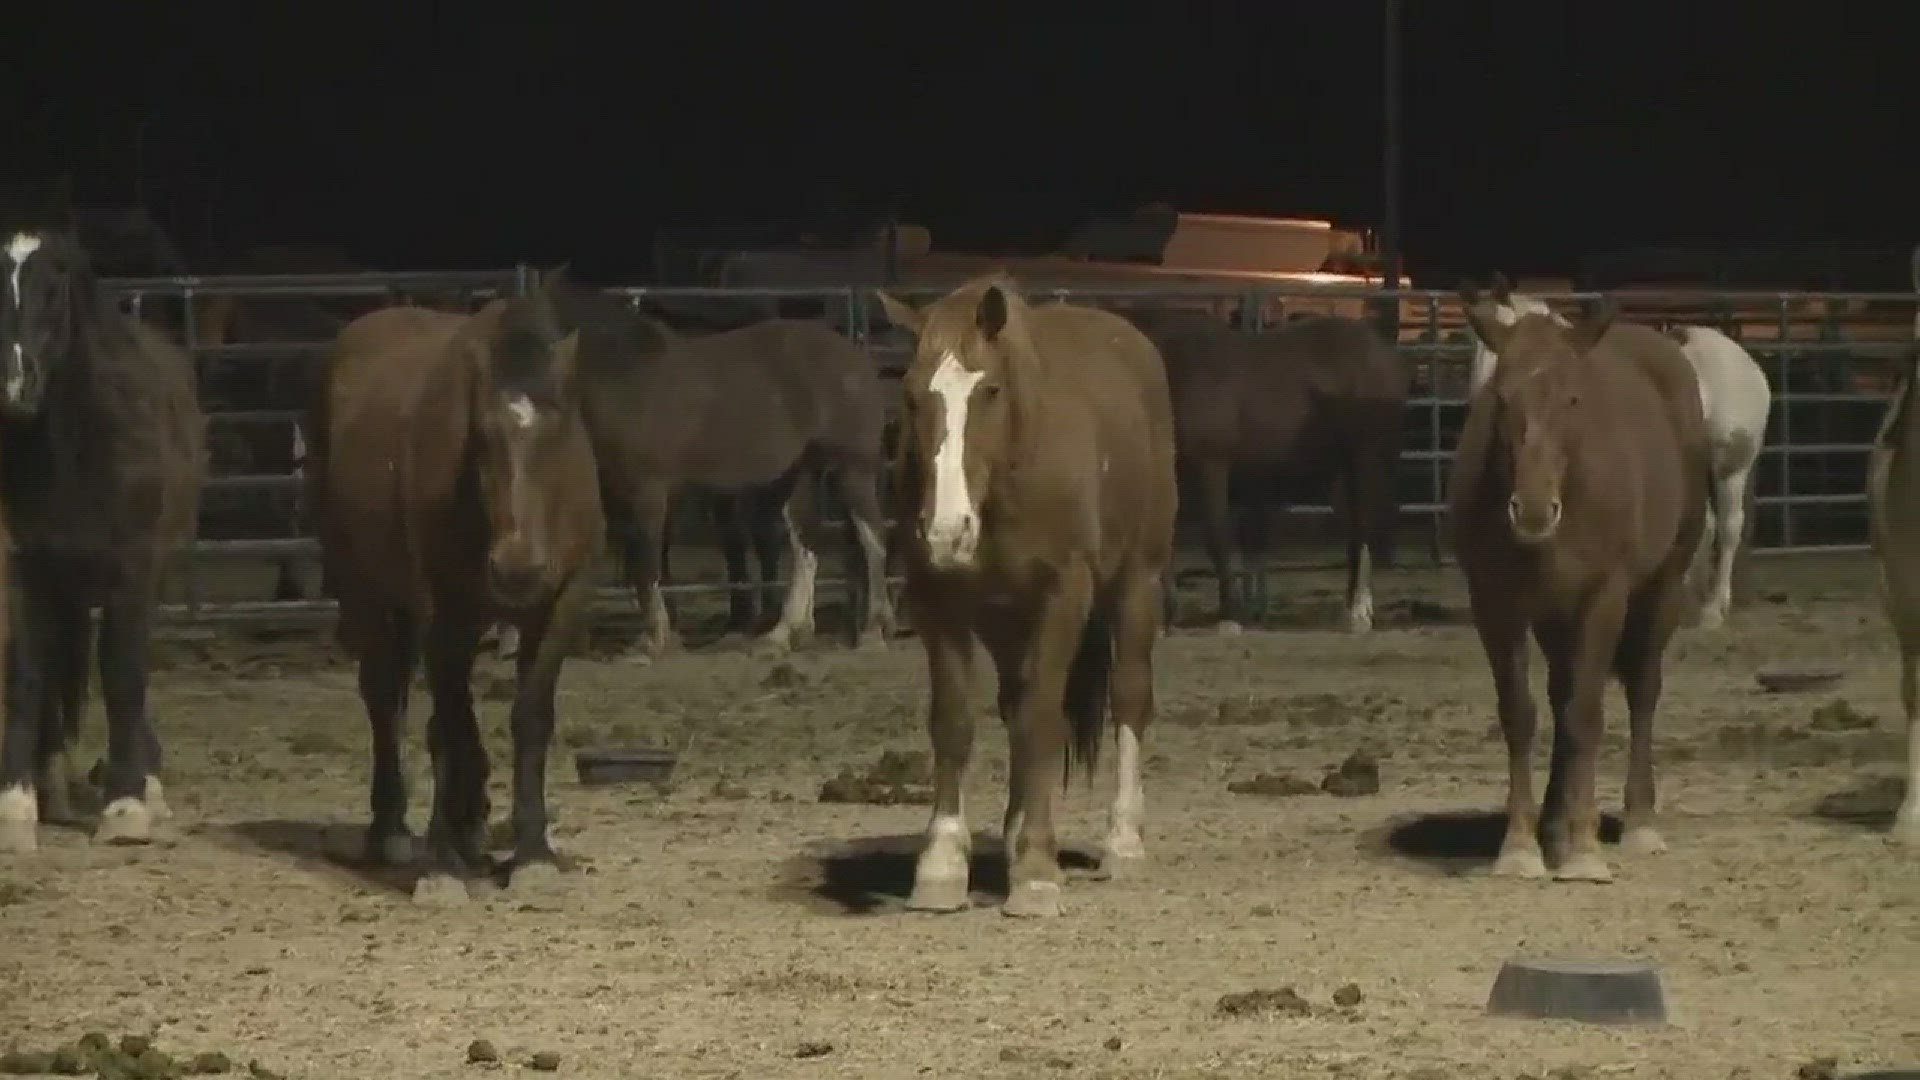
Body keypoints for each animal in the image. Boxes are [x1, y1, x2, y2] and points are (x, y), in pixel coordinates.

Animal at [0, 226, 204, 849]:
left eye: (53, 291)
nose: (14, 383)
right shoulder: (29, 569)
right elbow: (27, 675)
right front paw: (15, 807)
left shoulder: (132, 574)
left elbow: (122, 672)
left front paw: (126, 805)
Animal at [305, 269, 599, 891]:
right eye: (480, 438)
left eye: (561, 431)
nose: (516, 567)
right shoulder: (449, 606)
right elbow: (450, 722)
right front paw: (443, 862)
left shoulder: (562, 603)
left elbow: (529, 717)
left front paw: (532, 853)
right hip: (365, 590)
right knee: (384, 695)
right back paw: (393, 829)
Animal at [1121, 305, 1413, 630]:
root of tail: (1386, 355)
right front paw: (1167, 615)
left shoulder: (1210, 467)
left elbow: (1217, 536)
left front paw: (1230, 612)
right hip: (1342, 469)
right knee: (1354, 529)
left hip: (1365, 458)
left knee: (1363, 527)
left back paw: (1359, 613)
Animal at [1451, 286, 1712, 883]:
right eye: (1501, 397)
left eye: (1573, 399)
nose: (1532, 510)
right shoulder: (1496, 605)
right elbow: (1522, 715)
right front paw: (1521, 846)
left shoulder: (1603, 599)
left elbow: (1586, 715)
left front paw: (1586, 852)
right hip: (1553, 616)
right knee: (1561, 694)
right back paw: (1554, 826)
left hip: (1662, 587)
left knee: (1641, 690)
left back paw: (1637, 825)